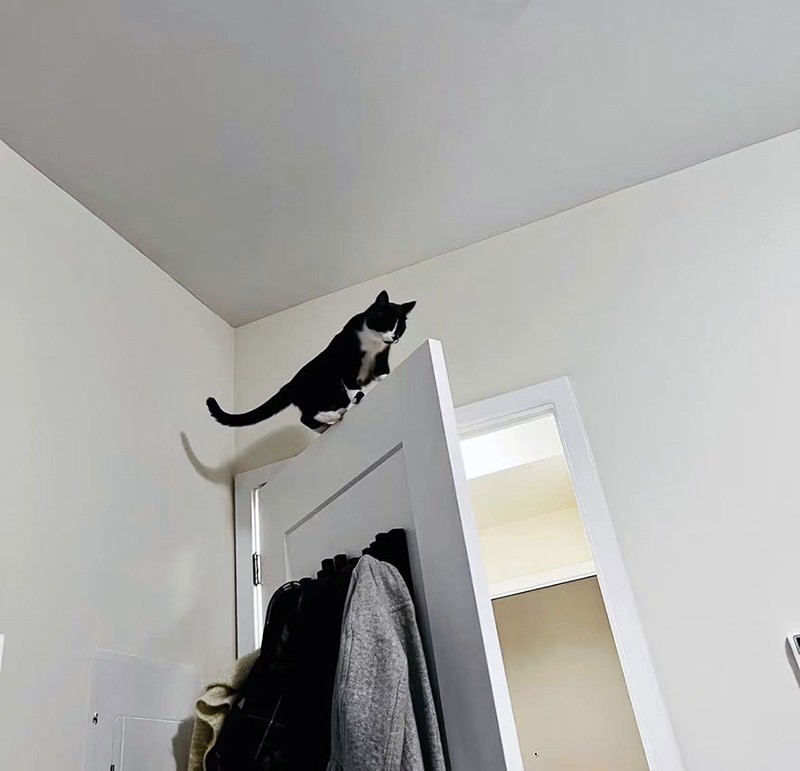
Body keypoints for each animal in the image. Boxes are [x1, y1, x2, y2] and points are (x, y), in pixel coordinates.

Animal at [206, 290, 416, 432]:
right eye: (387, 324)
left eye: (400, 329)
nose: (395, 338)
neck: (372, 343)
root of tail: (290, 385)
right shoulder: (346, 360)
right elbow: (350, 381)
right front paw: (358, 395)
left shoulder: (381, 358)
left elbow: (382, 372)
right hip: (321, 391)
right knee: (306, 417)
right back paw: (332, 417)